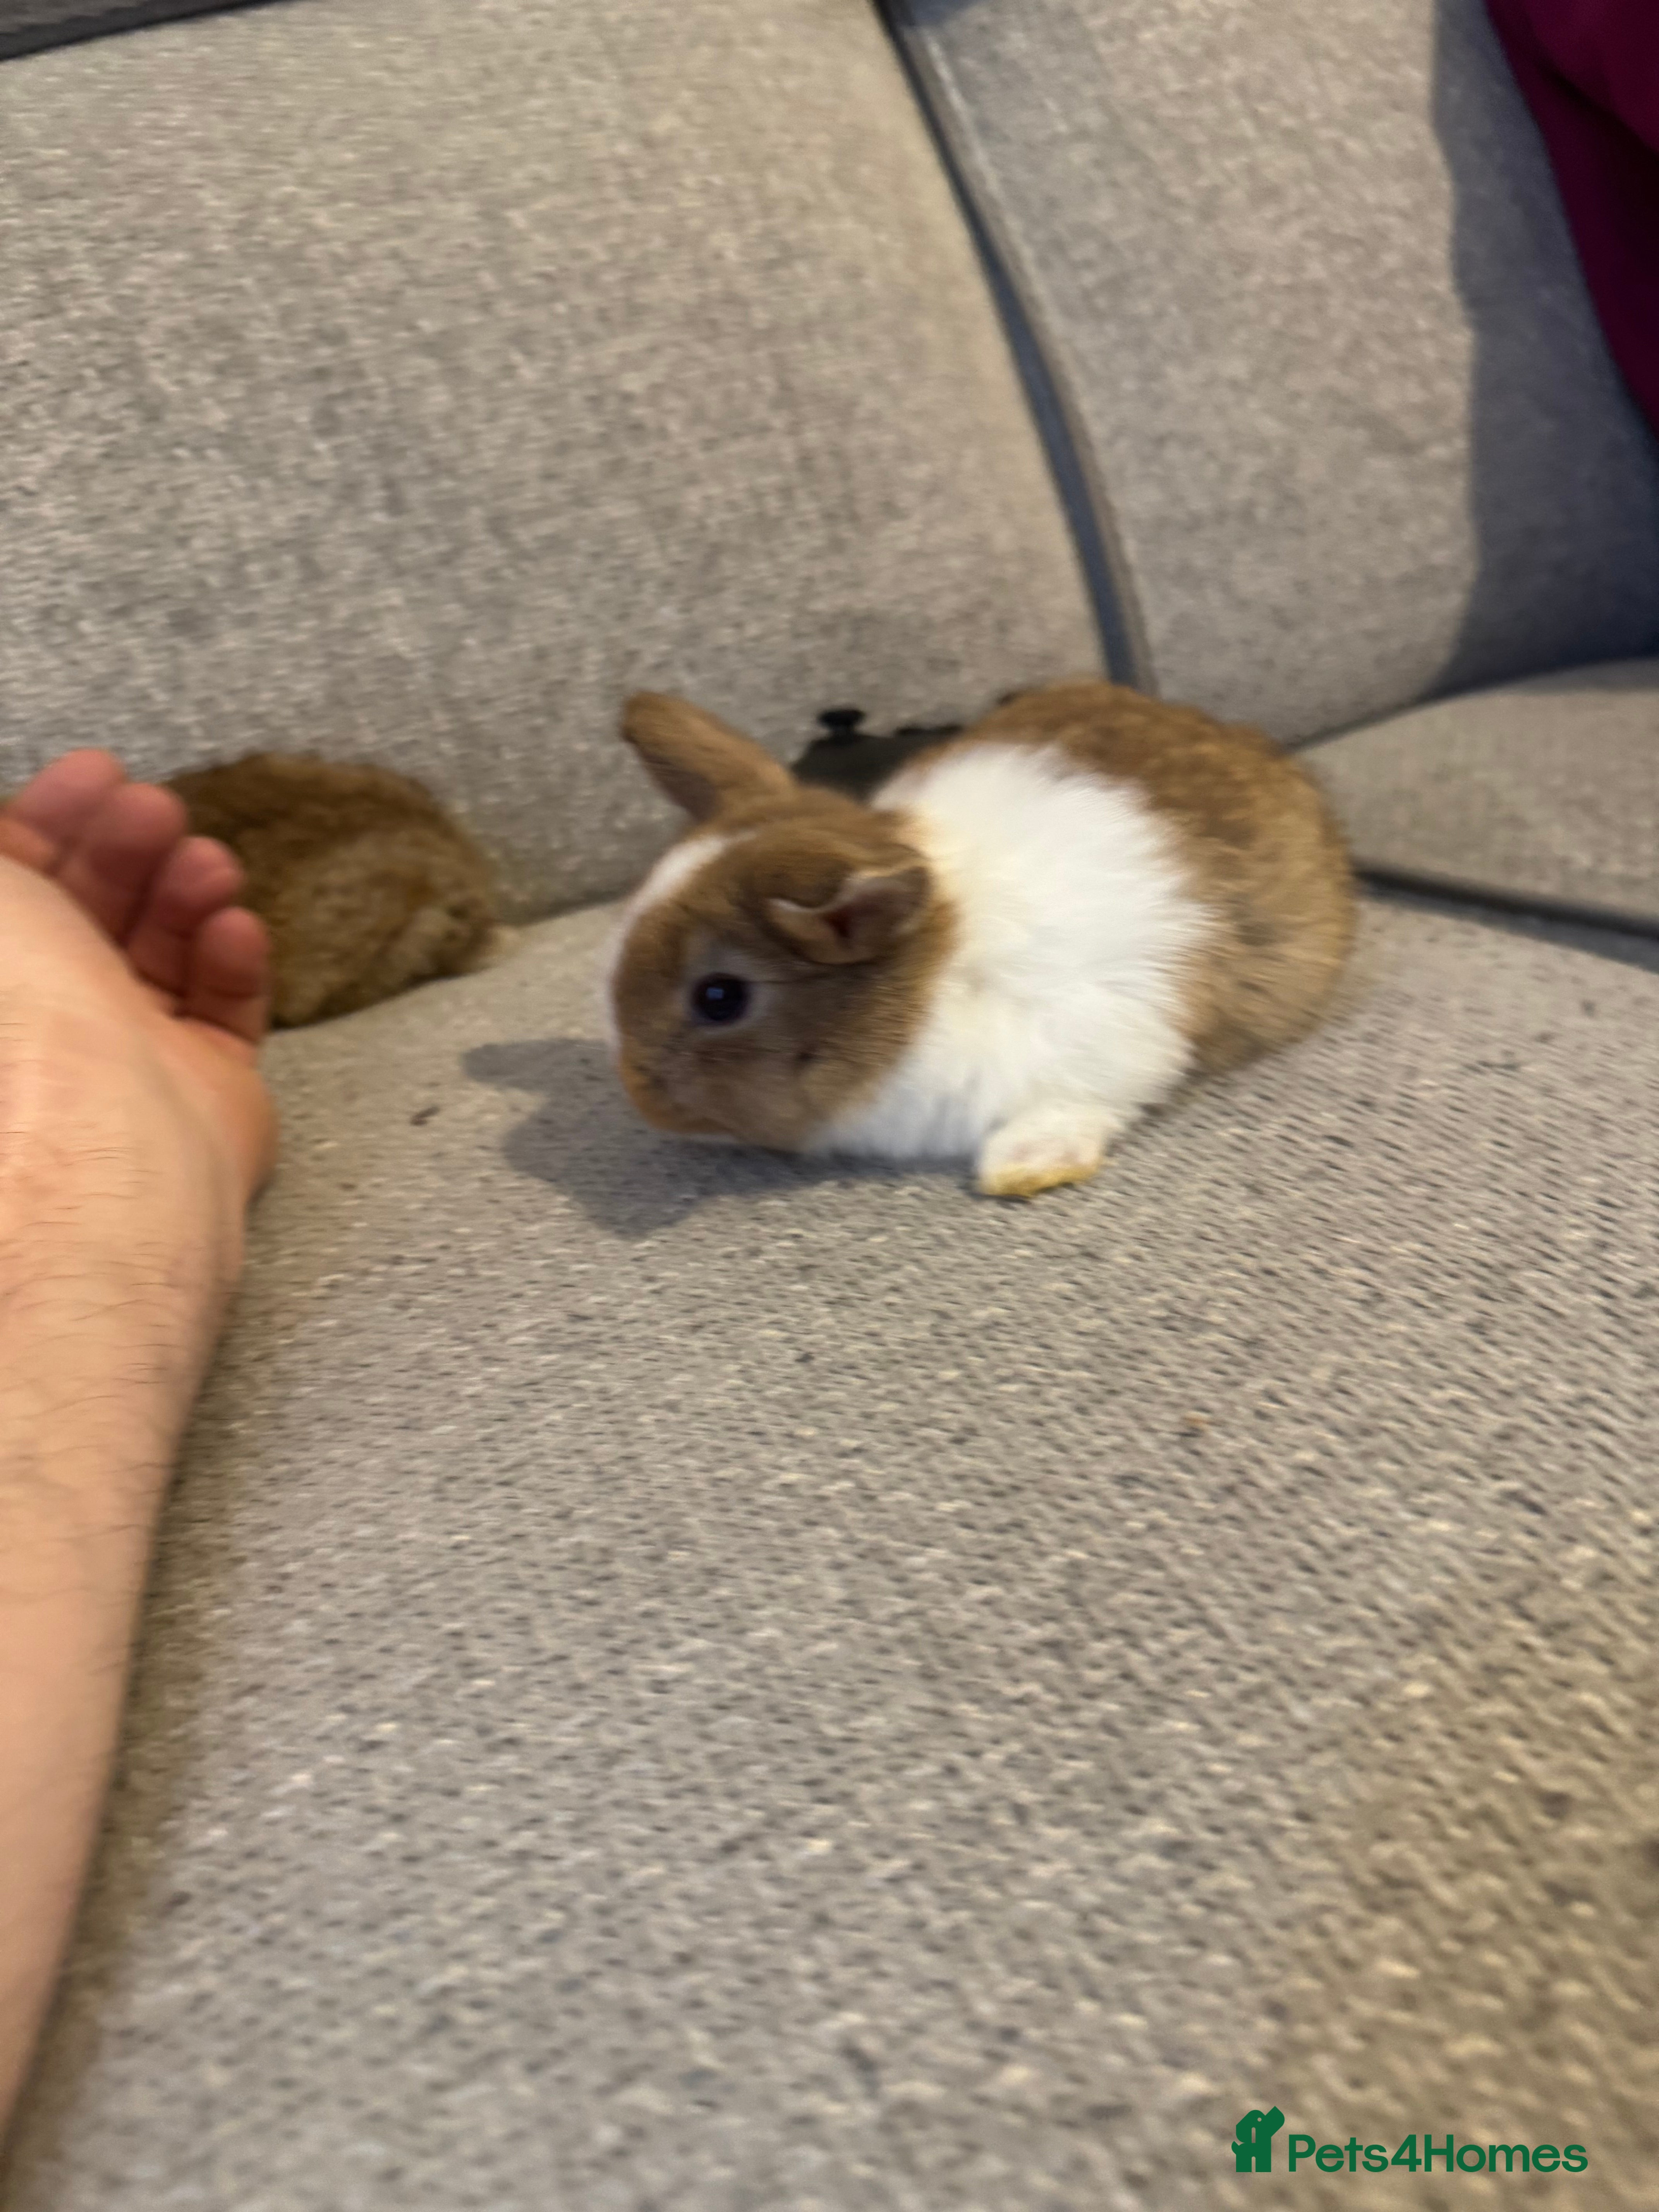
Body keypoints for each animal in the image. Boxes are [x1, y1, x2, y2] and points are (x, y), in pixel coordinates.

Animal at [605, 680, 1356, 1197]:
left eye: (720, 997)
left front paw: (1021, 1169)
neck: (931, 973)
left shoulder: (1104, 1044)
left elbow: (1074, 1105)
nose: (642, 1101)